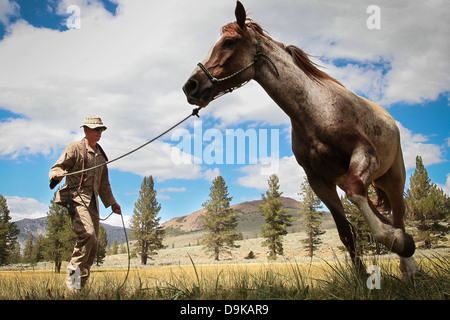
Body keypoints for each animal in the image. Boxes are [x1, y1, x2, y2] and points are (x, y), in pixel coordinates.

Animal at [181, 1, 420, 278]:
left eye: (228, 42)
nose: (190, 86)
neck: (317, 111)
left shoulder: (364, 155)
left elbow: (357, 196)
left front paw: (397, 242)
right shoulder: (319, 181)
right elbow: (346, 233)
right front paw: (362, 277)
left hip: (393, 178)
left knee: (399, 215)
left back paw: (409, 267)